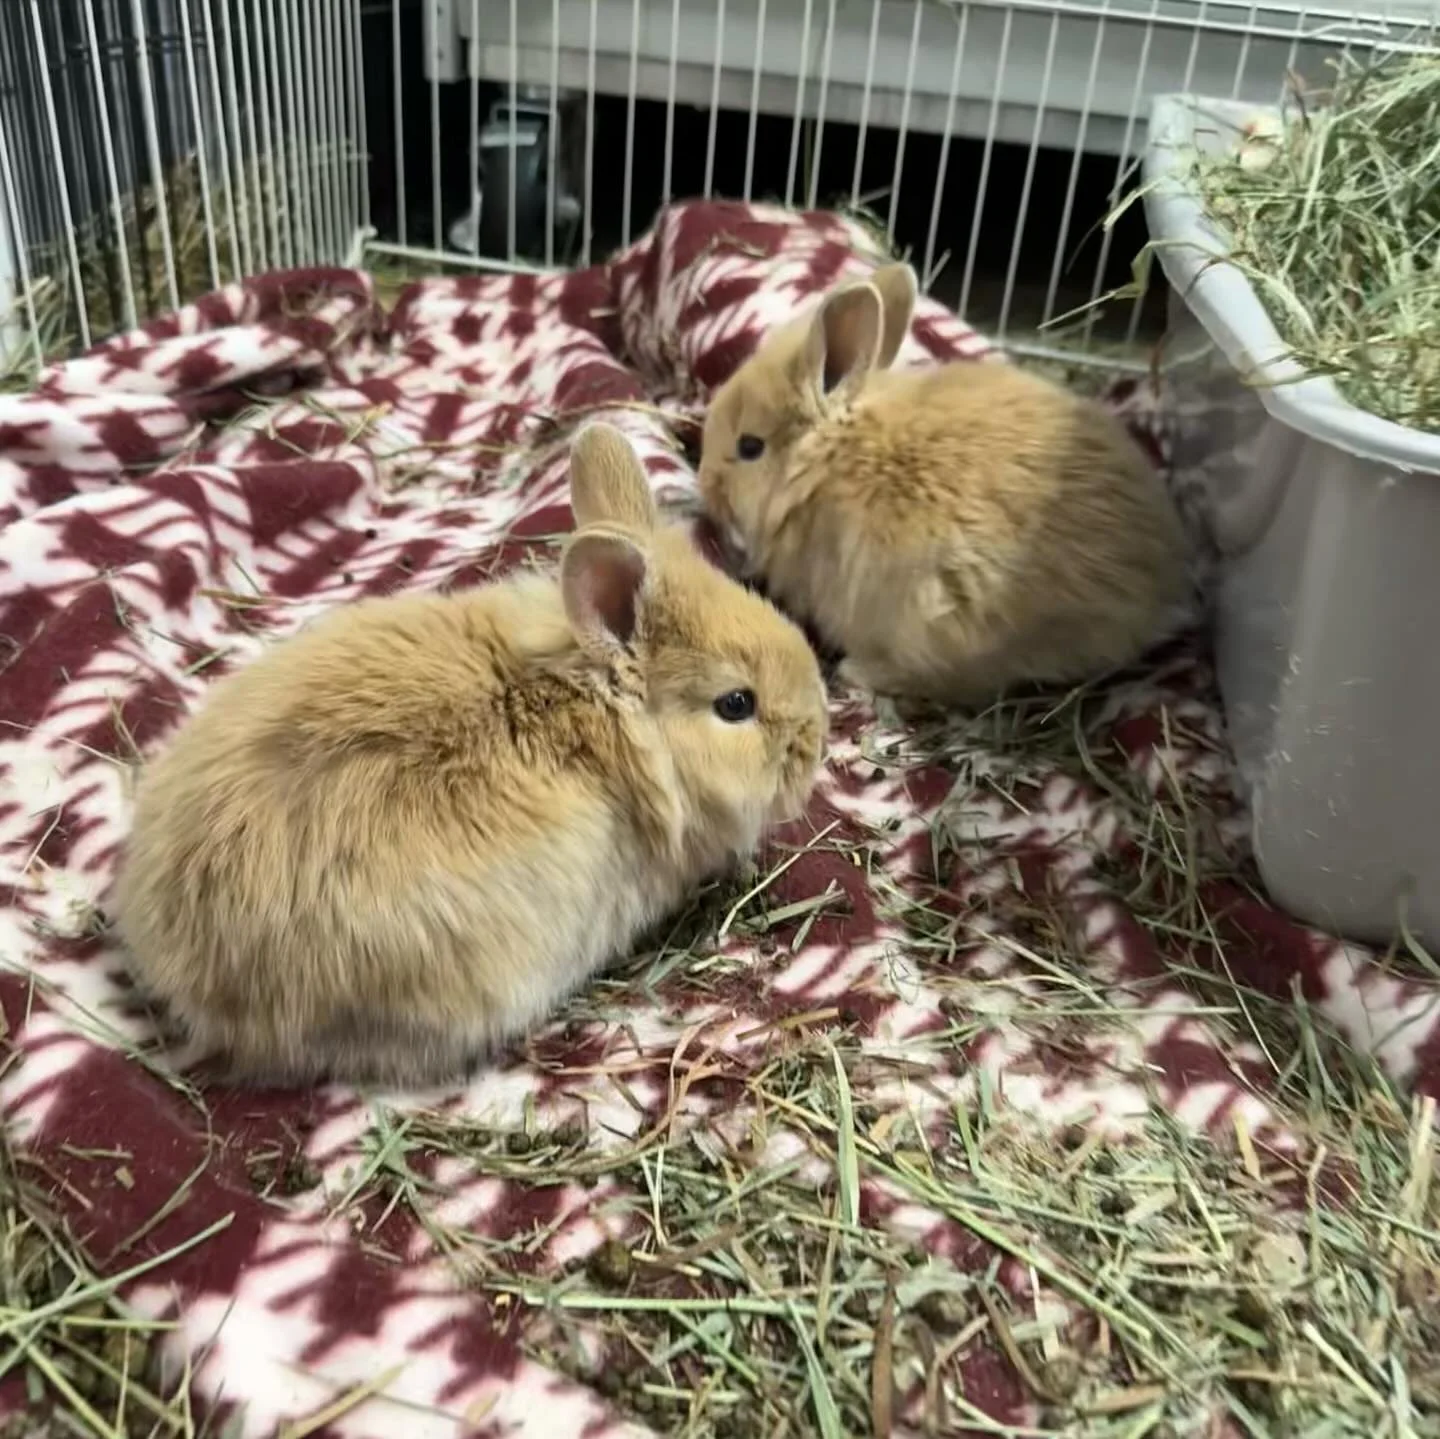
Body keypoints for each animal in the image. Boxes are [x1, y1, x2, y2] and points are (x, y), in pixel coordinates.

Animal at [697, 261, 1191, 706]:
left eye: (749, 446)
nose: (705, 481)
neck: (828, 460)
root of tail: (1158, 598)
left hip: (936, 616)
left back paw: (857, 671)